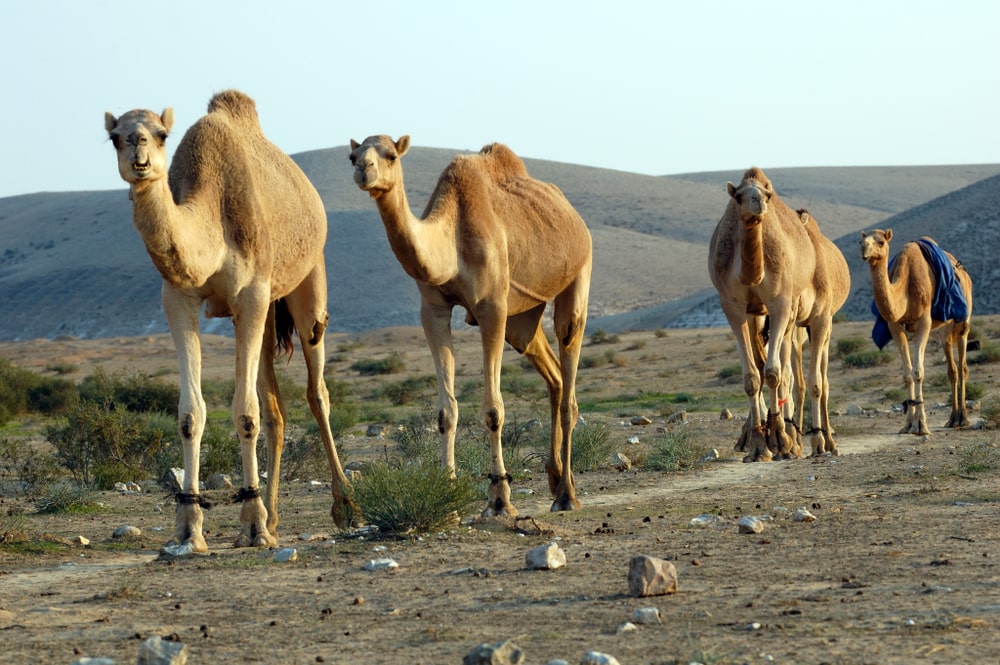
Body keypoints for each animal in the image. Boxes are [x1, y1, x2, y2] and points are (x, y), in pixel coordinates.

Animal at [105, 90, 353, 552]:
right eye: (115, 136)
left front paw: (252, 525)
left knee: (317, 392)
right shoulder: (178, 297)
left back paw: (344, 506)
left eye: (160, 133)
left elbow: (245, 413)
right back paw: (274, 517)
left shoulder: (250, 294)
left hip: (307, 284)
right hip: (268, 312)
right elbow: (191, 414)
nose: (138, 154)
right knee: (275, 409)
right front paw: (190, 527)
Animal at [349, 135, 592, 516]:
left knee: (569, 378)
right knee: (553, 375)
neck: (452, 242)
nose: (364, 170)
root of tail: (573, 215)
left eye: (390, 155)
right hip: (522, 319)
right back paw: (555, 481)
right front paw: (446, 497)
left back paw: (567, 494)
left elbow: (493, 409)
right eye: (352, 156)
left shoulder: (491, 307)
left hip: (578, 273)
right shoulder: (433, 309)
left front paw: (499, 499)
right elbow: (445, 411)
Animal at [709, 168, 850, 462]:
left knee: (815, 379)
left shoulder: (785, 304)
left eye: (767, 194)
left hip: (813, 321)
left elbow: (780, 374)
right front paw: (759, 443)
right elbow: (753, 376)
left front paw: (783, 440)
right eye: (739, 195)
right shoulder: (733, 307)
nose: (758, 202)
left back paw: (824, 441)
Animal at [859, 229, 973, 434]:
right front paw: (907, 424)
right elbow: (907, 375)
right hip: (944, 332)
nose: (865, 252)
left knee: (963, 367)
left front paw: (921, 426)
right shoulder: (894, 325)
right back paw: (952, 419)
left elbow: (918, 371)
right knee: (952, 369)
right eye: (861, 241)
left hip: (963, 323)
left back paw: (963, 419)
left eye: (880, 242)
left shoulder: (924, 322)